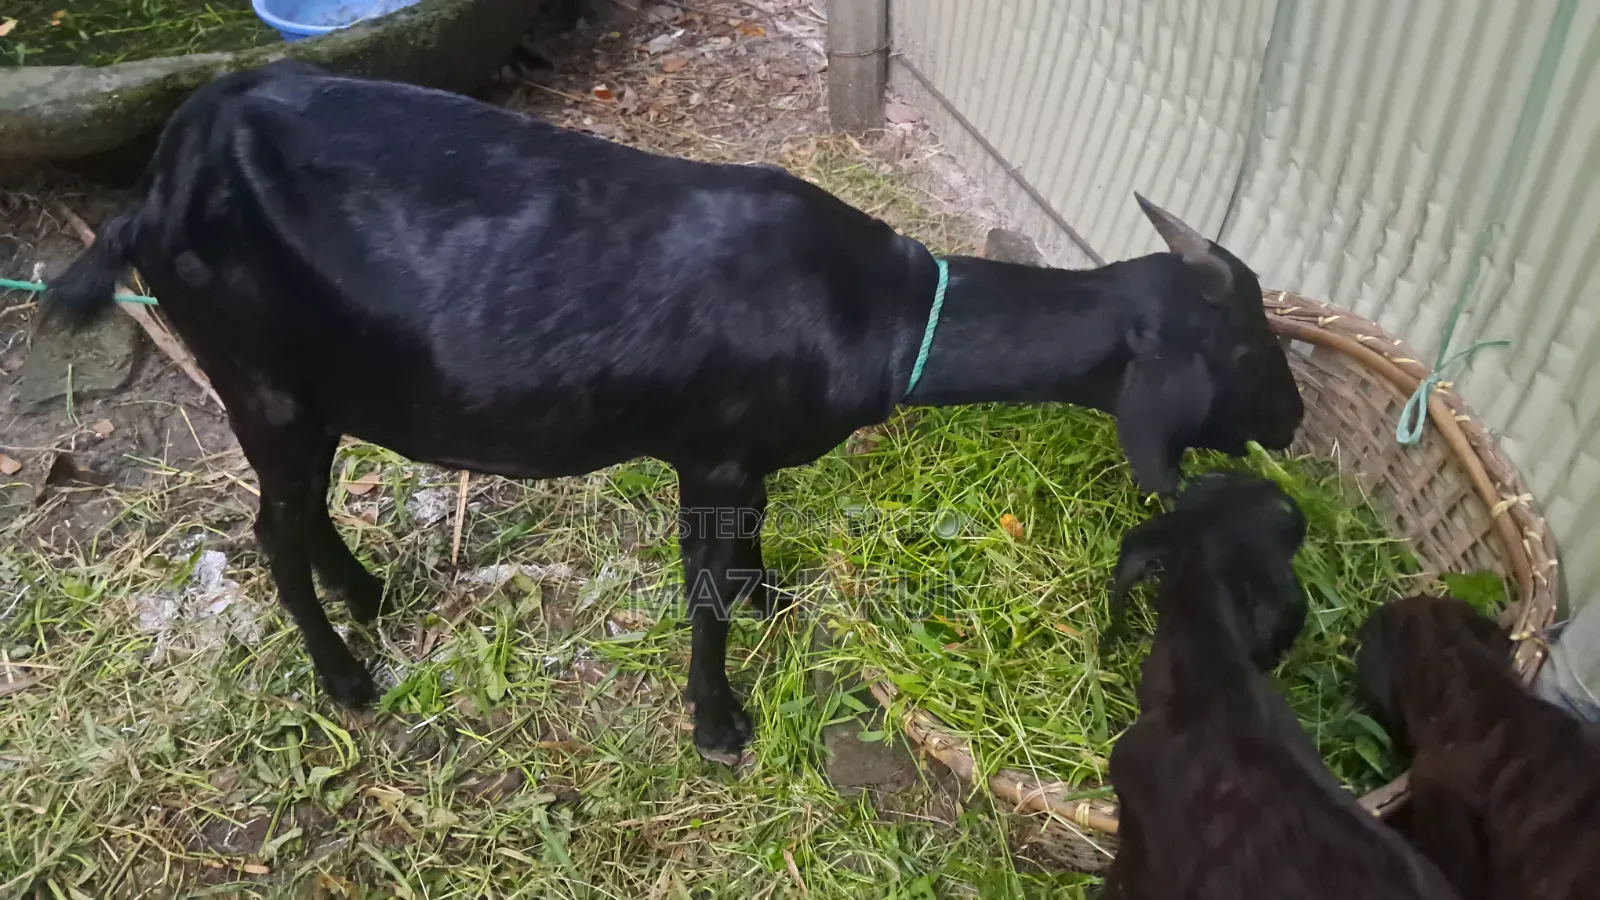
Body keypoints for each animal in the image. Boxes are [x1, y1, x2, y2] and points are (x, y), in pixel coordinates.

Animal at [43, 61, 1303, 763]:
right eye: (1247, 346)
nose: (1293, 427)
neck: (877, 310)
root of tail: (155, 189)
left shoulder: (745, 458)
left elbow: (747, 546)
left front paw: (767, 596)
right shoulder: (712, 453)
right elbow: (698, 591)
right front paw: (717, 723)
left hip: (315, 388)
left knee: (301, 515)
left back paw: (370, 596)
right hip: (258, 379)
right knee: (271, 526)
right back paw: (347, 678)